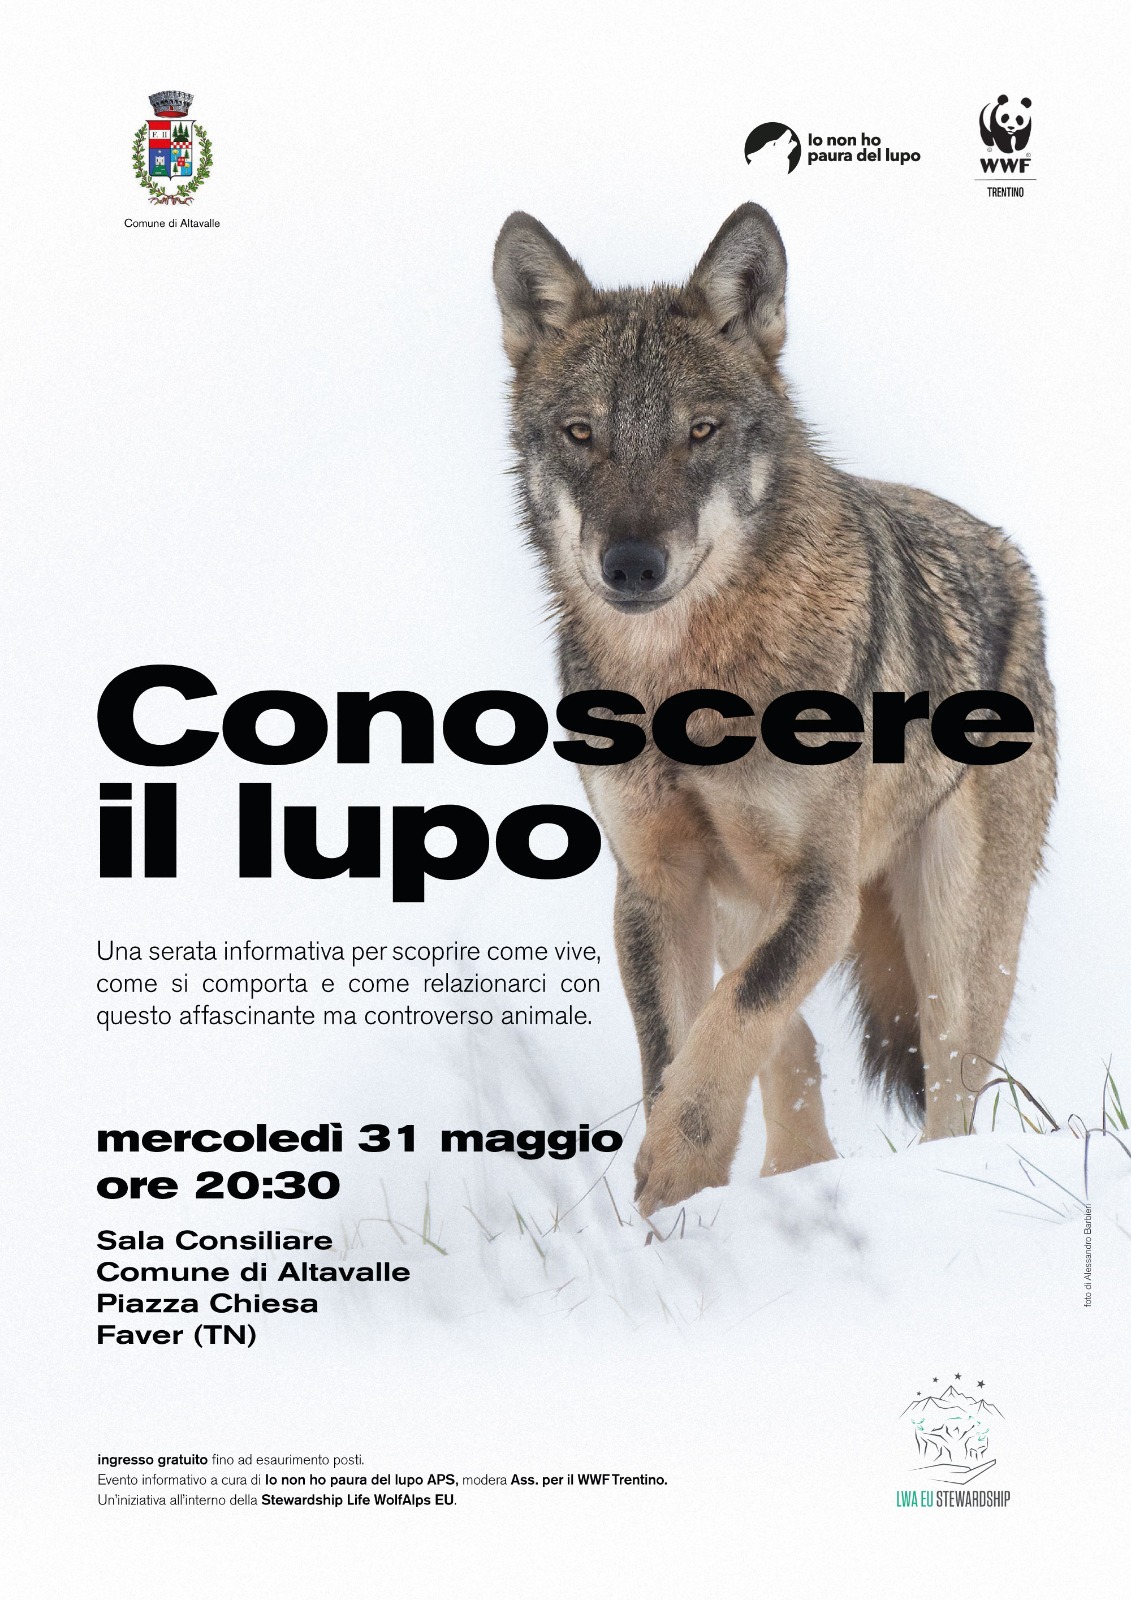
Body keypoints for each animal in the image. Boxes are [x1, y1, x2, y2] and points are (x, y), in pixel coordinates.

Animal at [492, 204, 1056, 1214]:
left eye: (700, 431)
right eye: (582, 433)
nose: (629, 565)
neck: (684, 681)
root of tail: (1002, 550)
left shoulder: (821, 892)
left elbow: (731, 1025)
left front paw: (672, 1176)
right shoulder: (655, 885)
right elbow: (683, 1049)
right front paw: (670, 1212)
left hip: (953, 949)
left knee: (951, 1099)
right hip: (737, 907)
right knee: (790, 1048)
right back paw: (793, 1182)